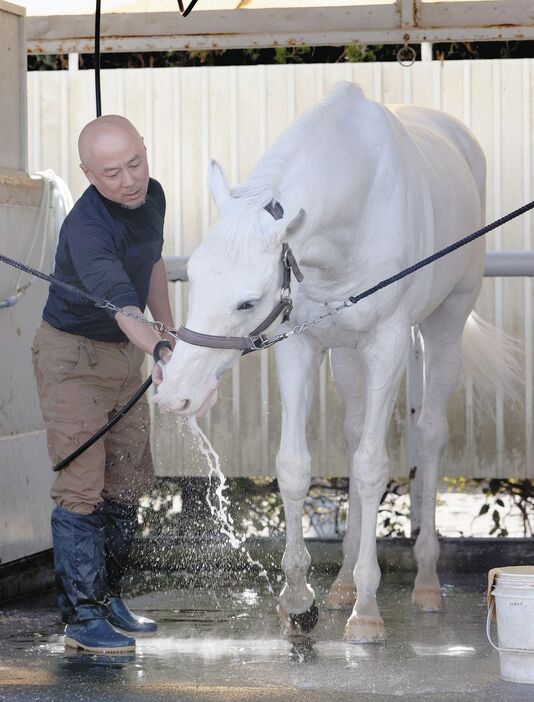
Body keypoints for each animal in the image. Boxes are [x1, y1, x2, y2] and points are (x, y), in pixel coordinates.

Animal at [158, 82, 516, 644]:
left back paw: (425, 583)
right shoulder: (297, 344)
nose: (175, 395)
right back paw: (344, 582)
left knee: (430, 434)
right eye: (192, 276)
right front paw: (298, 600)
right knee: (352, 434)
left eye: (247, 301)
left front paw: (367, 612)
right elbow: (295, 468)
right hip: (346, 353)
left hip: (445, 323)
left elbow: (371, 469)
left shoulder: (388, 342)